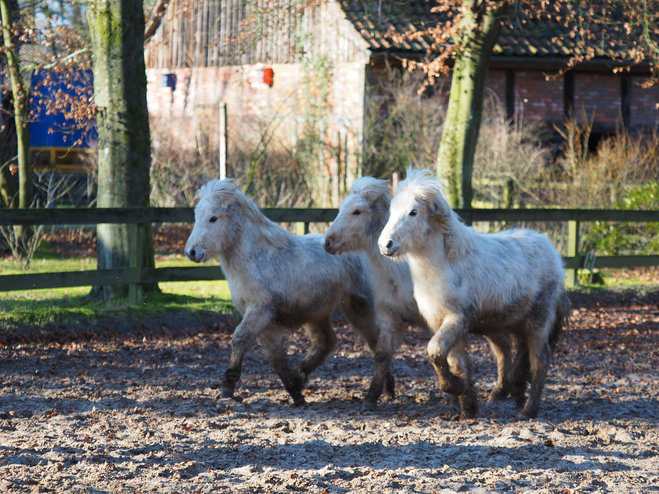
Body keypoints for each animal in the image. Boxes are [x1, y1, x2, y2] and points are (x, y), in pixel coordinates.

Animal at [184, 179, 392, 408]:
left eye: (213, 218)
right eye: (196, 216)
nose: (191, 252)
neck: (257, 258)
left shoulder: (260, 311)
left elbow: (240, 339)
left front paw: (227, 389)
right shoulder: (266, 321)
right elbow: (274, 357)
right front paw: (295, 393)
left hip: (358, 307)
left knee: (376, 342)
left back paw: (386, 390)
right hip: (316, 314)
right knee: (326, 341)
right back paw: (302, 377)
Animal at [322, 178, 520, 412]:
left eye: (357, 211)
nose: (327, 242)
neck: (402, 271)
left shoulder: (437, 320)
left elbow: (445, 356)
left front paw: (455, 397)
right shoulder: (390, 315)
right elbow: (382, 354)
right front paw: (372, 397)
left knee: (503, 346)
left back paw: (502, 390)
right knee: (503, 345)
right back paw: (502, 391)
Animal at [378, 169, 568, 416]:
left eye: (413, 212)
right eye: (392, 211)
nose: (385, 245)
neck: (446, 266)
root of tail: (552, 252)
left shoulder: (457, 319)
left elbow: (434, 351)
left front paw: (457, 389)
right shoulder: (442, 322)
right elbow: (455, 361)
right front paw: (467, 406)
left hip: (538, 322)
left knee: (539, 360)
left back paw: (528, 409)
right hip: (510, 323)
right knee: (511, 351)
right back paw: (509, 393)